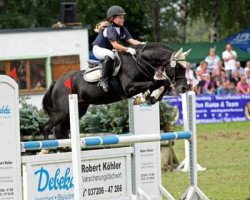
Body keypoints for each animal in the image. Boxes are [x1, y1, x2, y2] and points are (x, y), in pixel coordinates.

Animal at [42, 42, 189, 138]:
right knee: (47, 127)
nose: (184, 88)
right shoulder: (129, 88)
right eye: (178, 67)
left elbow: (163, 83)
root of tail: (56, 83)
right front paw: (145, 97)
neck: (140, 62)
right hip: (62, 112)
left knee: (61, 130)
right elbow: (152, 83)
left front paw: (152, 98)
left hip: (78, 110)